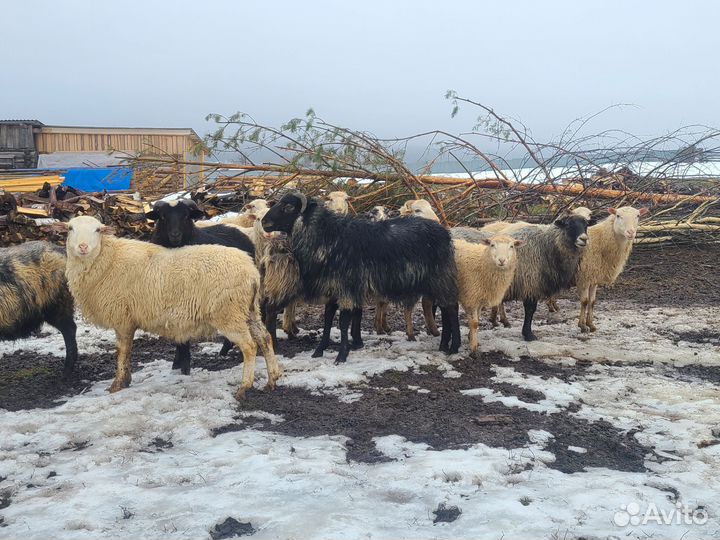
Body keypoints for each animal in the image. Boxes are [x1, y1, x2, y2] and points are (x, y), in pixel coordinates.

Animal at [262, 192, 461, 363]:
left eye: (288, 207)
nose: (264, 222)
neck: (328, 237)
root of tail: (445, 232)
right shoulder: (333, 288)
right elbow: (327, 319)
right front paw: (319, 350)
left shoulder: (347, 288)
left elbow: (343, 322)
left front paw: (341, 356)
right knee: (445, 309)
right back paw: (444, 345)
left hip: (440, 277)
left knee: (451, 308)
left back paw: (454, 347)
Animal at [451, 214, 589, 341]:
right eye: (568, 225)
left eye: (586, 225)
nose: (584, 239)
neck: (547, 247)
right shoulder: (531, 285)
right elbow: (530, 310)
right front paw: (528, 334)